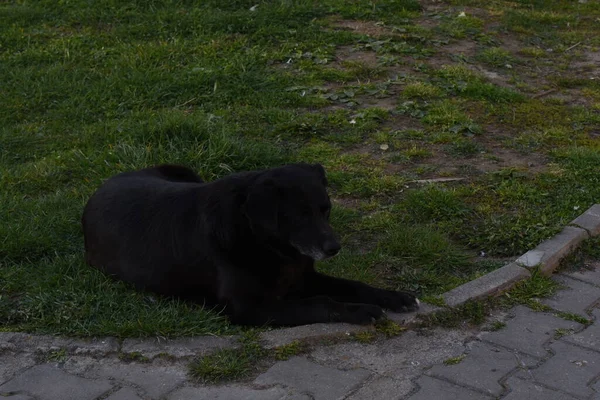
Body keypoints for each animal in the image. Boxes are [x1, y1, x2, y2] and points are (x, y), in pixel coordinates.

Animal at [82, 162, 420, 324]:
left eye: (326, 209)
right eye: (299, 216)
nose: (333, 248)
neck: (263, 242)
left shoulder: (303, 278)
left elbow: (353, 285)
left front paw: (393, 297)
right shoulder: (249, 308)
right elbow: (321, 302)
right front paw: (361, 311)